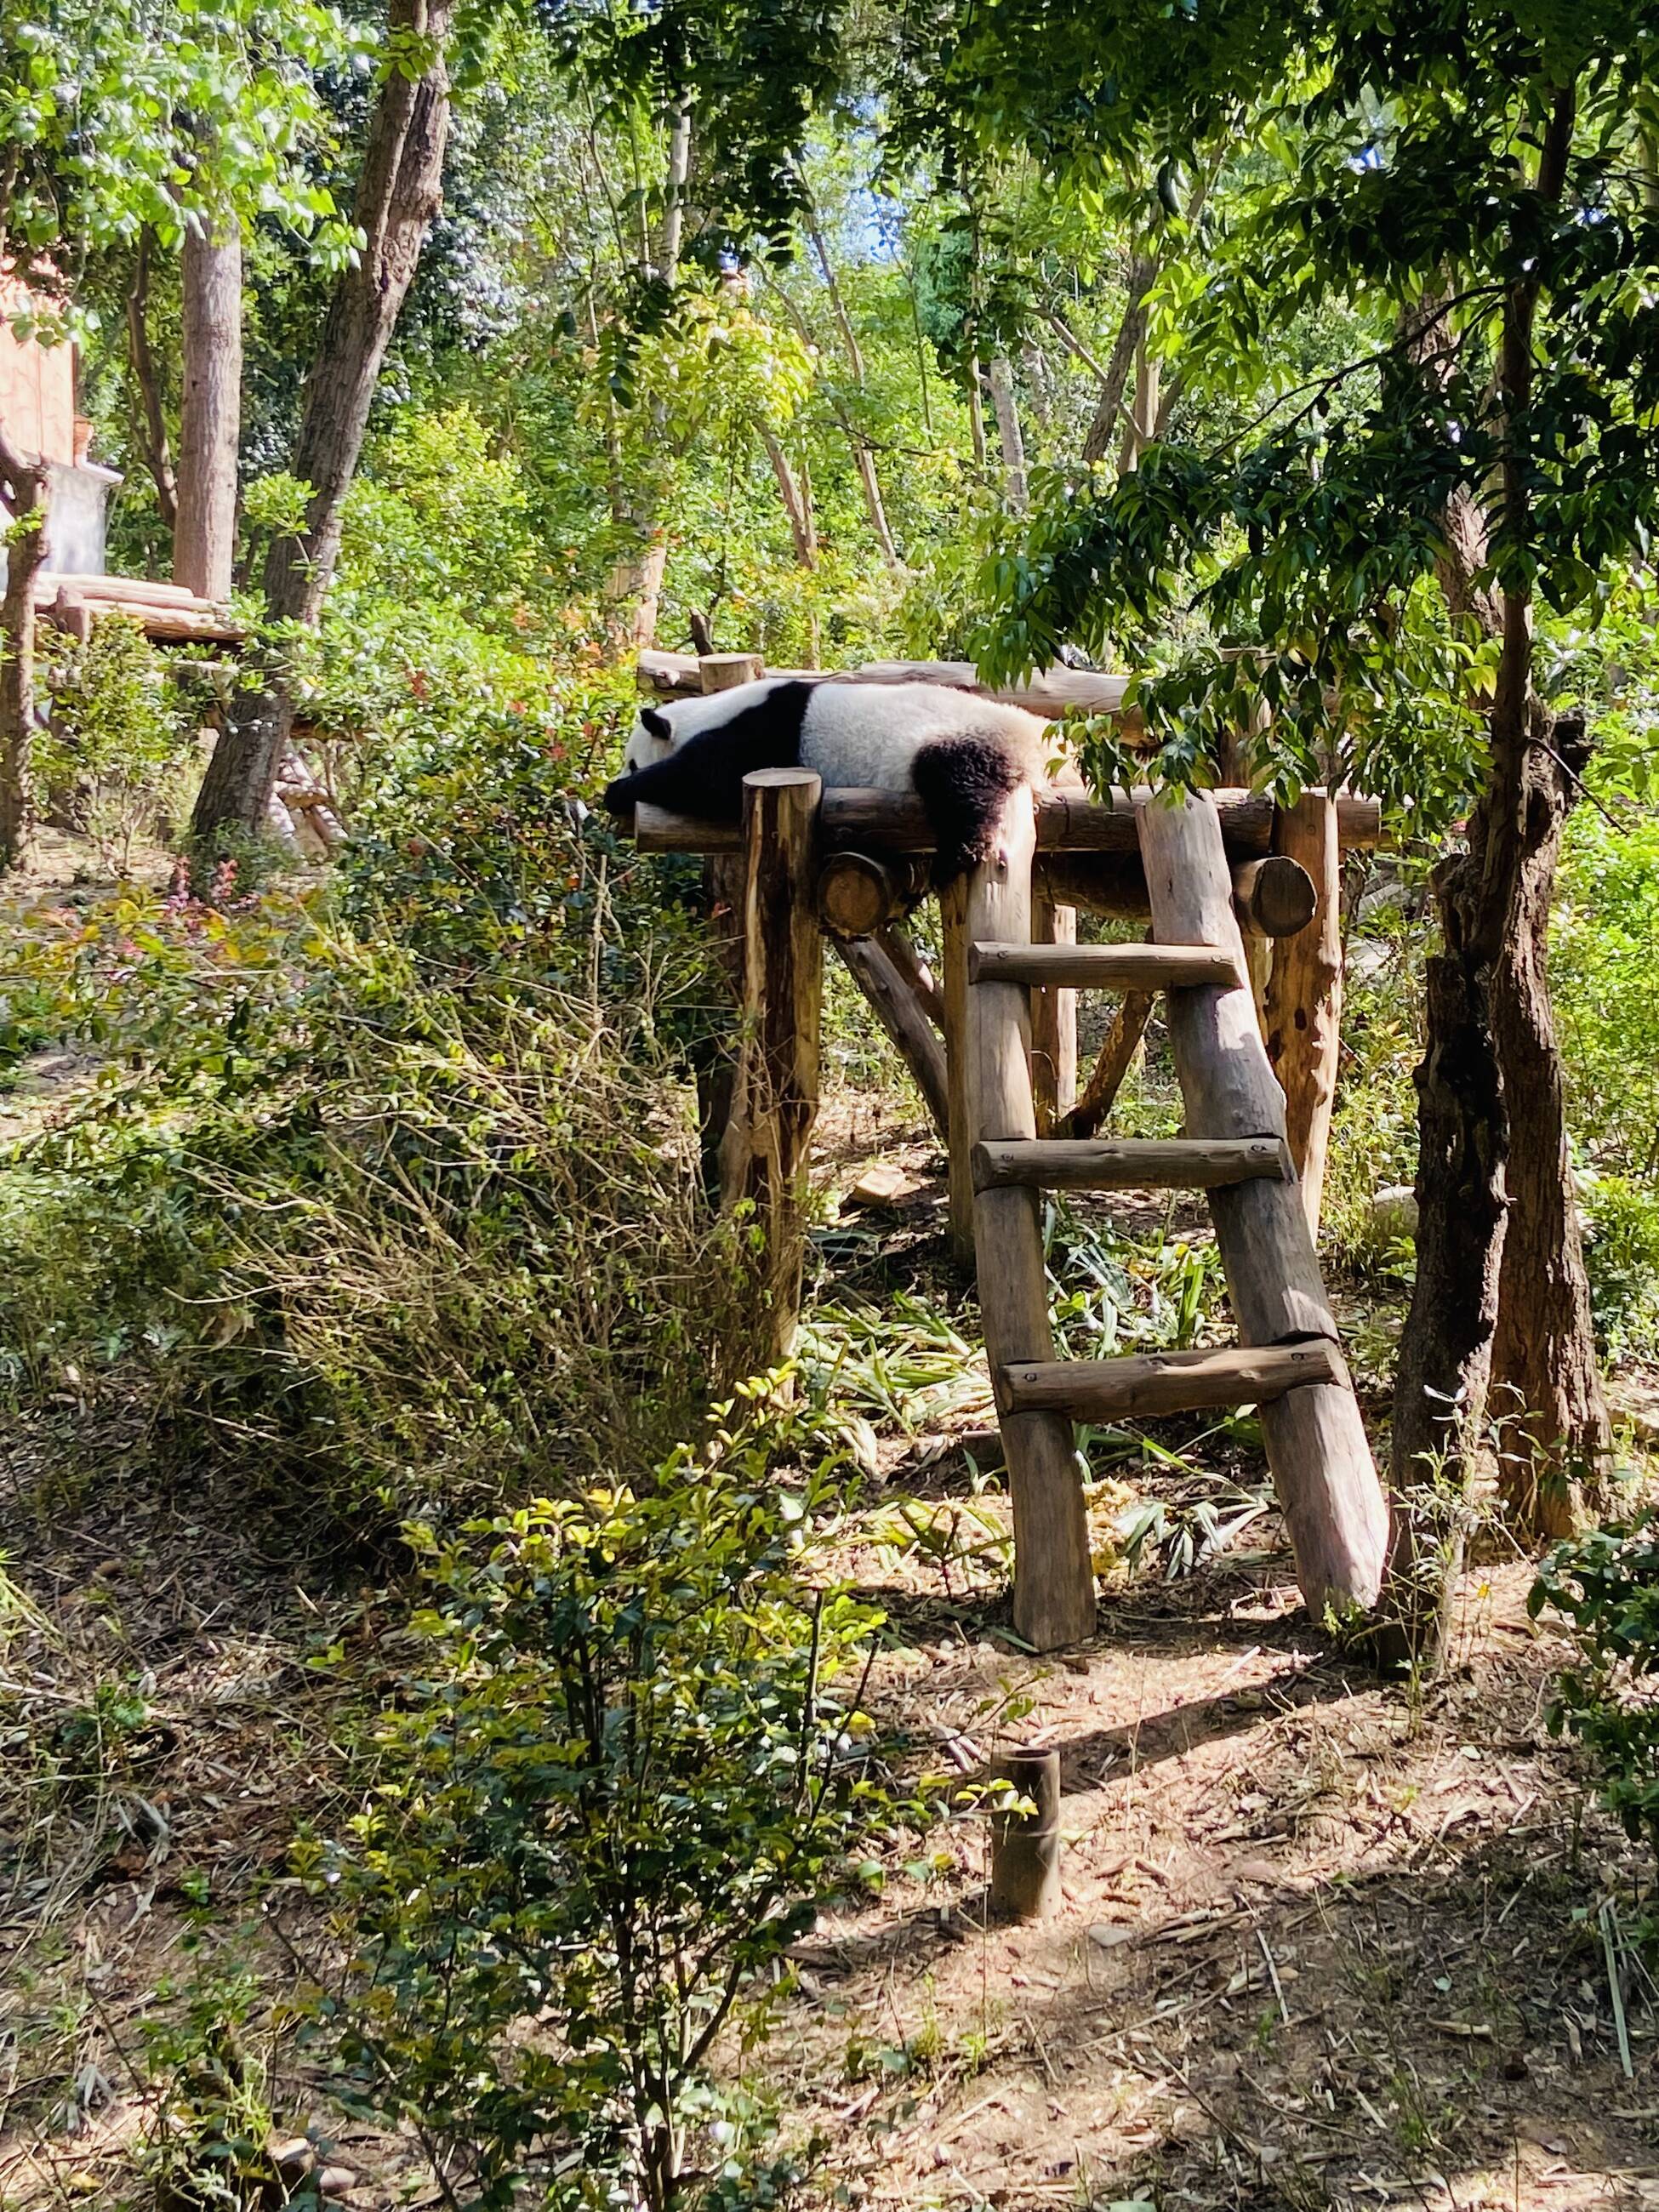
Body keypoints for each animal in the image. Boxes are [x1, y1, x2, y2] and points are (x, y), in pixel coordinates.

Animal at [602, 677, 1055, 886]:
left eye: (631, 762)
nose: (623, 774)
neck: (705, 713)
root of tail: (1040, 742)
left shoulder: (763, 734)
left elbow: (711, 781)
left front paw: (618, 793)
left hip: (962, 738)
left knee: (962, 787)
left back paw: (958, 856)